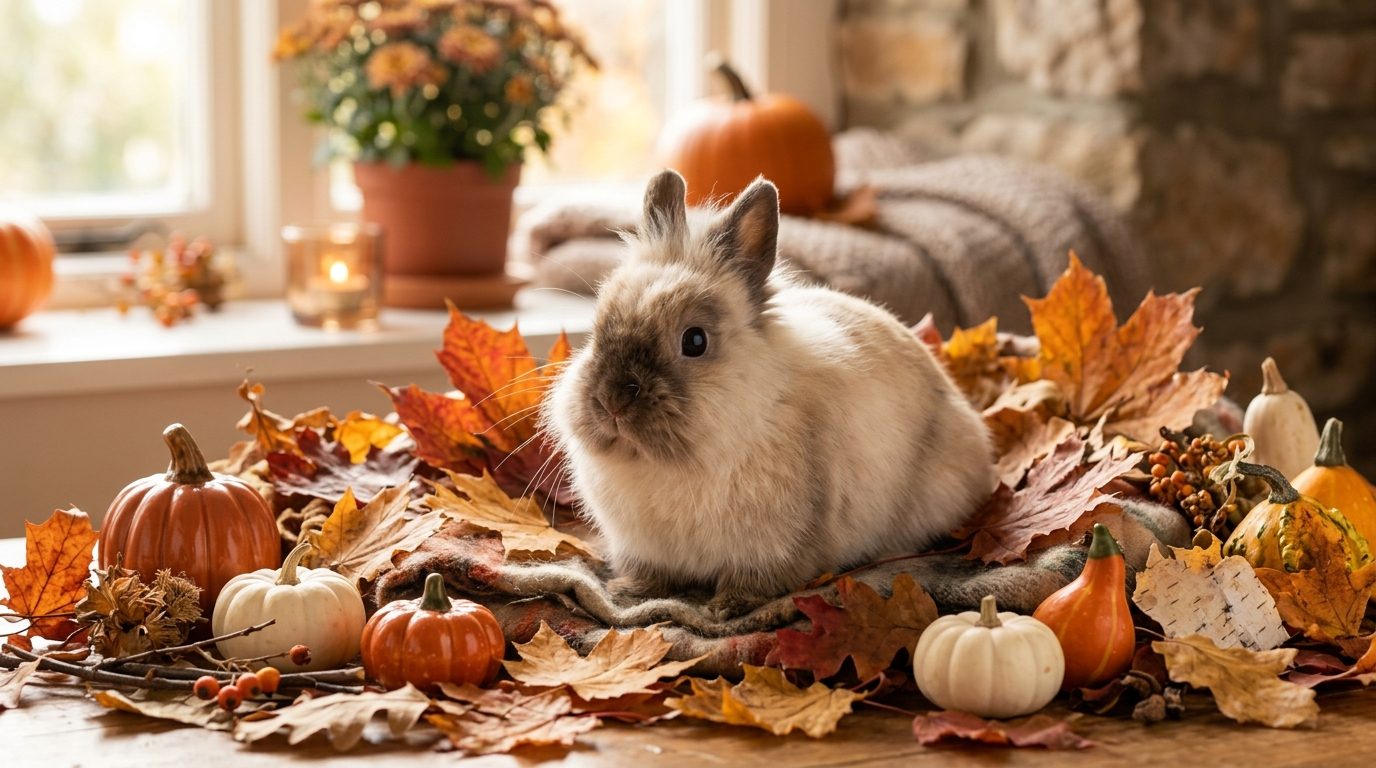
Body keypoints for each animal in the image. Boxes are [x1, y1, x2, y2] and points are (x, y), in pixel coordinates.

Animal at [542, 169, 995, 619]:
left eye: (695, 341)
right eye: (598, 327)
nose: (612, 401)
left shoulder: (776, 545)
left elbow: (758, 578)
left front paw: (727, 607)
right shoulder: (644, 547)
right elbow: (652, 575)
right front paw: (629, 591)